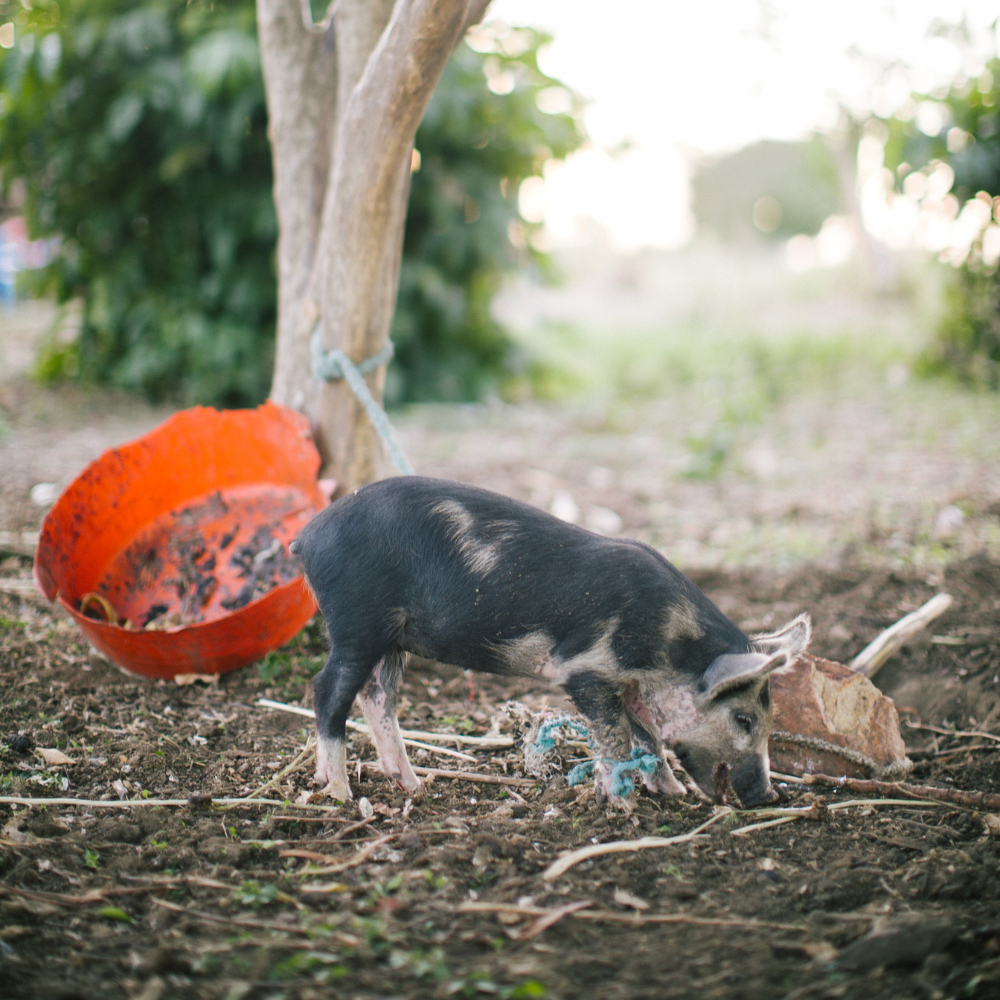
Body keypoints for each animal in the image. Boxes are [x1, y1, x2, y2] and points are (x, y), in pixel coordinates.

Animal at [291, 476, 811, 809]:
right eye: (743, 718)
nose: (768, 794)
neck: (666, 641)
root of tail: (307, 538)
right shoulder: (584, 668)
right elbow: (615, 737)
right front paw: (622, 807)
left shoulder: (629, 684)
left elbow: (647, 734)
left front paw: (672, 793)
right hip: (358, 622)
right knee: (328, 692)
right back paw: (339, 792)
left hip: (392, 640)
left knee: (379, 697)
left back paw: (414, 787)